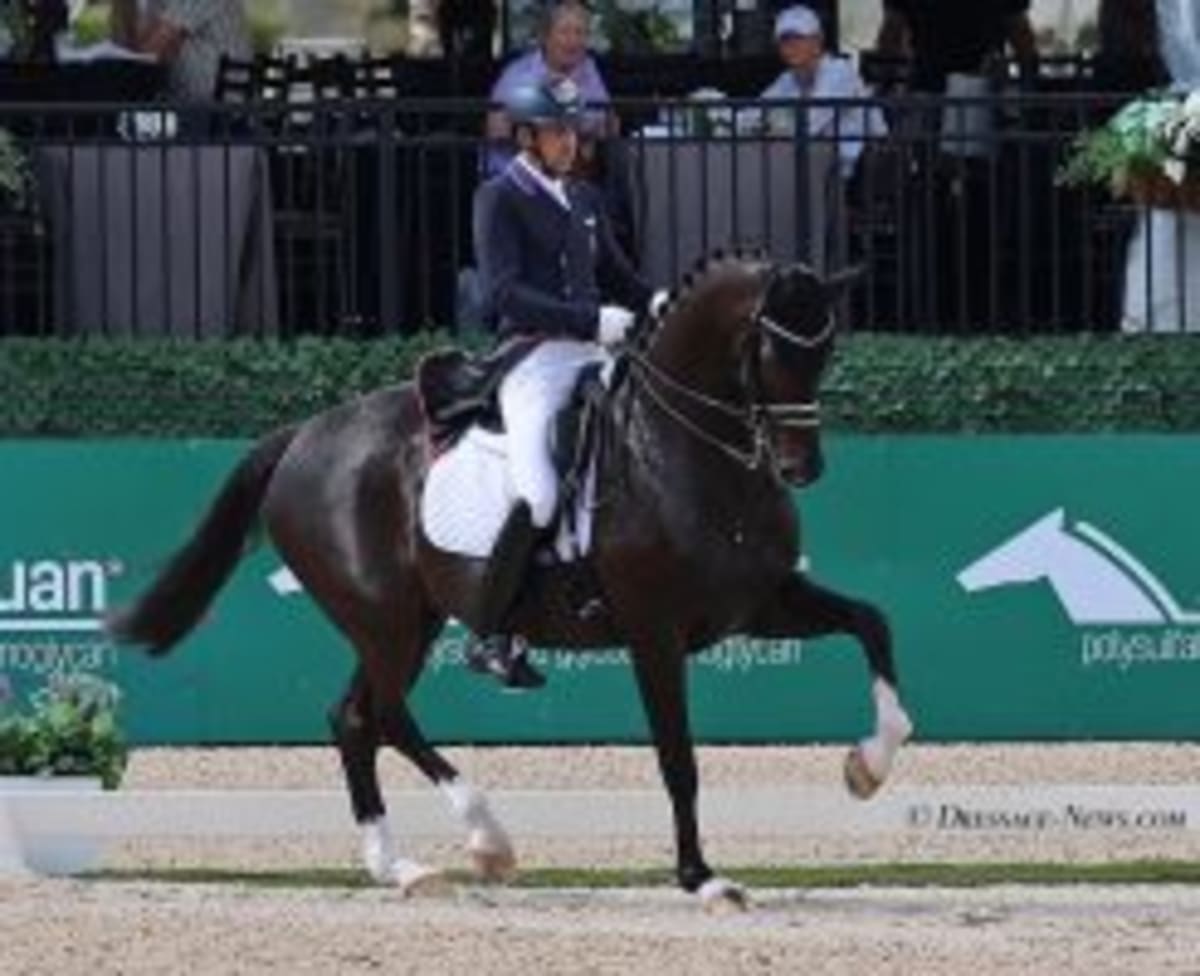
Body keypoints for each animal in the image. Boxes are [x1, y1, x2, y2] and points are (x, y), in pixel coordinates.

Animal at [108, 253, 914, 909]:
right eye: (770, 347)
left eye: (827, 348)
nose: (802, 467)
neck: (686, 452)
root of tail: (303, 436)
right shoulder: (655, 631)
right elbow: (678, 759)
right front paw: (703, 879)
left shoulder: (759, 603)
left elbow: (873, 623)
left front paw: (867, 767)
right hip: (385, 619)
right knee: (384, 715)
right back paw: (484, 839)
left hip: (410, 618)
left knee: (353, 719)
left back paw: (400, 868)